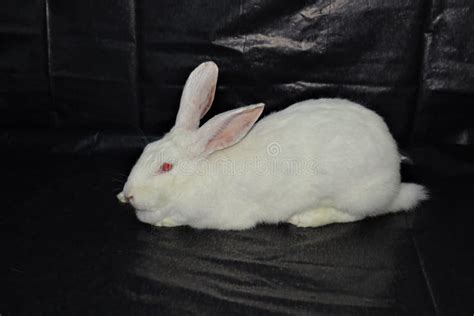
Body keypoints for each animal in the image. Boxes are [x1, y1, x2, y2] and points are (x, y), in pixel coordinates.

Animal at [117, 61, 426, 230]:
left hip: (354, 195)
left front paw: (164, 222)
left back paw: (305, 218)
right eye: (145, 151)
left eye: (166, 167)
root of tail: (396, 185)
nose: (128, 195)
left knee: (355, 216)